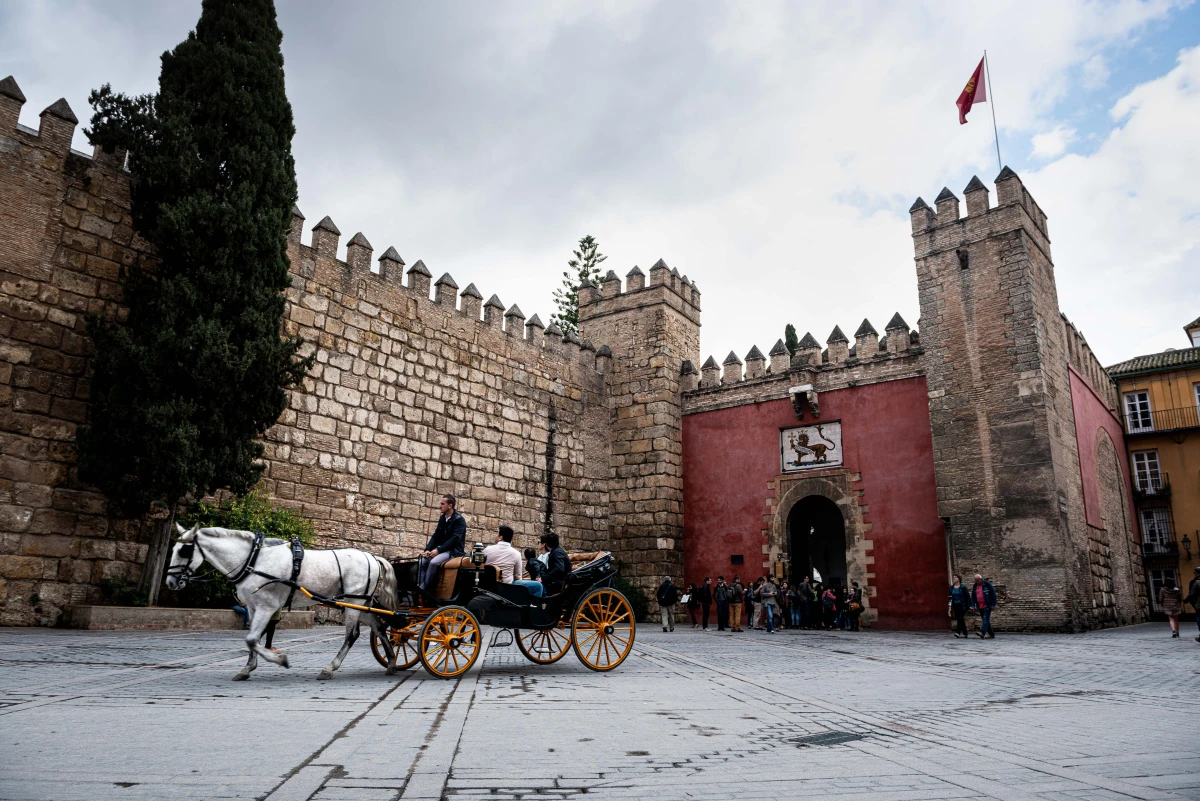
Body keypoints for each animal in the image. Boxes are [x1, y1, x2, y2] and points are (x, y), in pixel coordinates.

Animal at [164, 525, 400, 681]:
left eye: (184, 550)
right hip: (361, 603)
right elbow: (254, 638)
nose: (171, 582)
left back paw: (330, 668)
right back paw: (391, 661)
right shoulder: (253, 607)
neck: (254, 559)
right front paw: (247, 668)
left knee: (352, 635)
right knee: (379, 628)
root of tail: (371, 556)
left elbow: (251, 639)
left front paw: (279, 660)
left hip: (353, 600)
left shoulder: (267, 607)